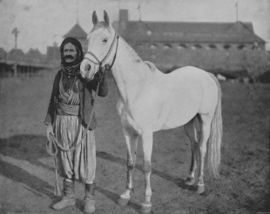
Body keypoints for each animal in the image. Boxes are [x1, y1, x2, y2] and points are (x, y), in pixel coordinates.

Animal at [79, 10, 223, 213]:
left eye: (105, 40)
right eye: (88, 38)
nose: (85, 69)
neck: (137, 88)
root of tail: (206, 75)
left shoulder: (147, 134)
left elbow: (147, 166)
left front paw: (146, 202)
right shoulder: (128, 132)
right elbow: (130, 162)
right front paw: (125, 196)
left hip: (205, 120)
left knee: (202, 148)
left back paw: (200, 185)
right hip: (188, 122)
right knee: (194, 146)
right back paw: (189, 179)